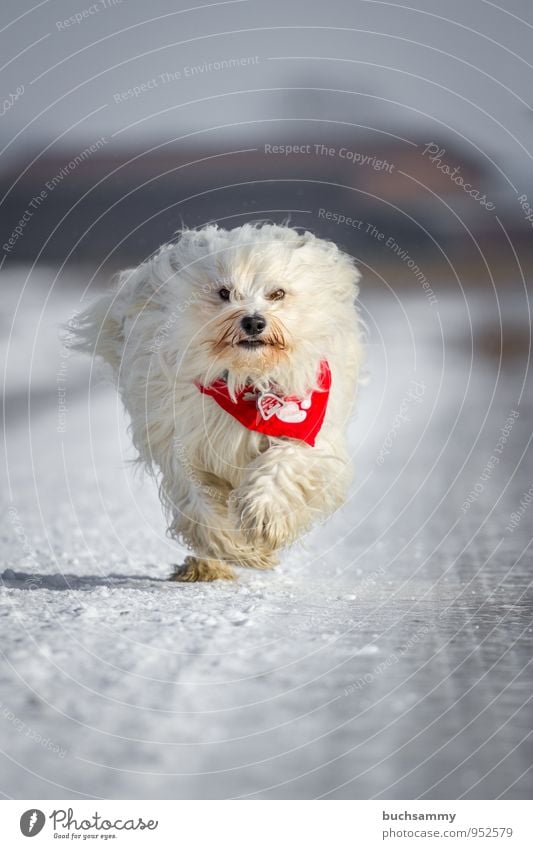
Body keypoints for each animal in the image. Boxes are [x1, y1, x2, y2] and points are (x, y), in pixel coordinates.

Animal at [69, 225, 362, 580]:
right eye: (224, 292)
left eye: (277, 293)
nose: (254, 322)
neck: (246, 379)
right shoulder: (183, 441)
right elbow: (199, 501)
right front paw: (236, 548)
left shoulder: (308, 427)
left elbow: (285, 463)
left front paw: (263, 516)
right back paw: (205, 566)